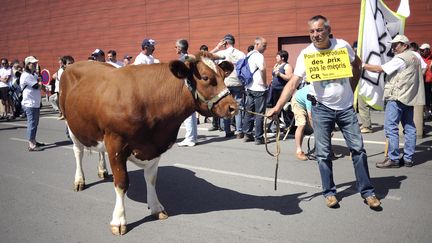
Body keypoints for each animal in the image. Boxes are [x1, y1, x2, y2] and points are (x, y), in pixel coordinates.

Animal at [59, 51, 238, 235]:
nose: (233, 107)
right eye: (205, 77)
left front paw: (156, 208)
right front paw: (119, 220)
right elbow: (121, 182)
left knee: (99, 150)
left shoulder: (154, 145)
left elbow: (151, 179)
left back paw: (102, 170)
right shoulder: (115, 141)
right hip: (71, 124)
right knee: (78, 152)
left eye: (224, 75)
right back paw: (79, 181)